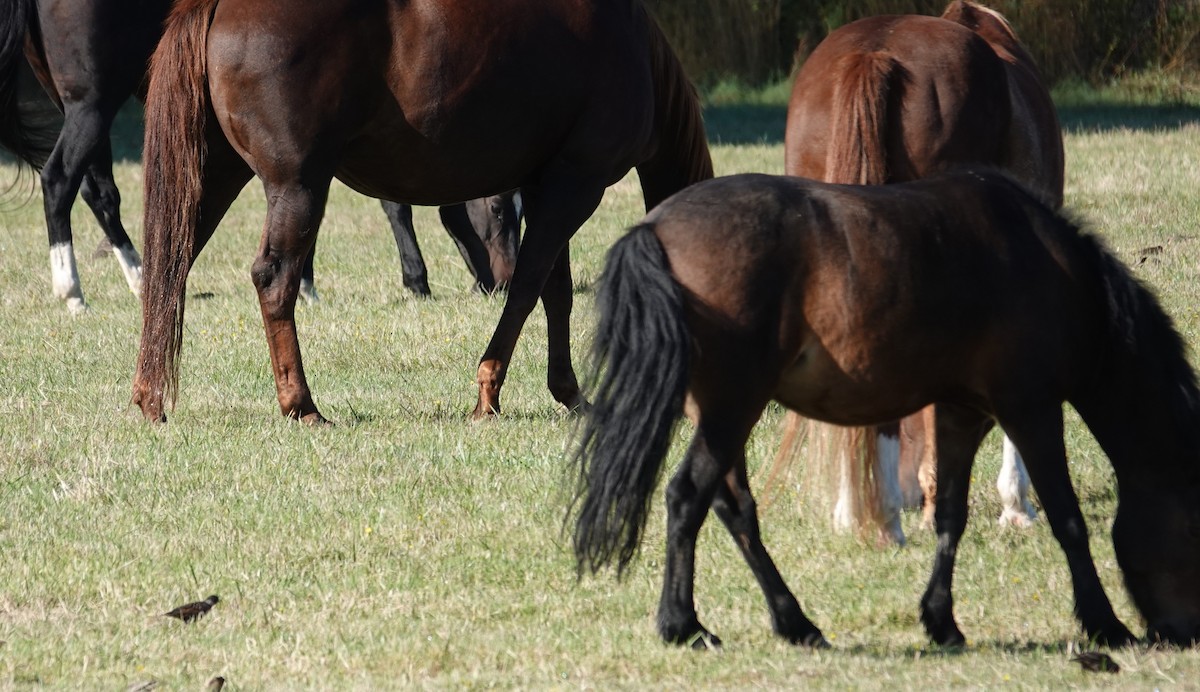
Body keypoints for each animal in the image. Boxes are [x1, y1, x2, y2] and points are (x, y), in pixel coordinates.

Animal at [0, 0, 518, 309]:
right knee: (60, 180)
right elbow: (397, 205)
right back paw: (71, 290)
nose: (502, 280)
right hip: (93, 103)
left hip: (83, 106)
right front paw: (416, 279)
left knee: (98, 191)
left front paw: (306, 283)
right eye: (497, 208)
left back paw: (142, 278)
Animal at [131, 0, 710, 422]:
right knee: (274, 279)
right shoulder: (575, 186)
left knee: (170, 267)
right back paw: (302, 405)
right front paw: (489, 393)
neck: (636, 51)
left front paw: (570, 394)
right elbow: (527, 291)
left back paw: (150, 396)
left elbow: (556, 293)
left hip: (212, 178)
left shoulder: (549, 188)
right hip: (298, 187)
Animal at [568, 169, 1200, 647]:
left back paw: (795, 623)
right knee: (688, 498)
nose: (1182, 632)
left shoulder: (962, 412)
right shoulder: (1032, 409)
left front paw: (942, 623)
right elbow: (1068, 518)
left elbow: (950, 516)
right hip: (732, 408)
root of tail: (653, 227)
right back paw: (684, 625)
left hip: (723, 413)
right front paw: (1105, 624)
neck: (1049, 265)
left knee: (732, 508)